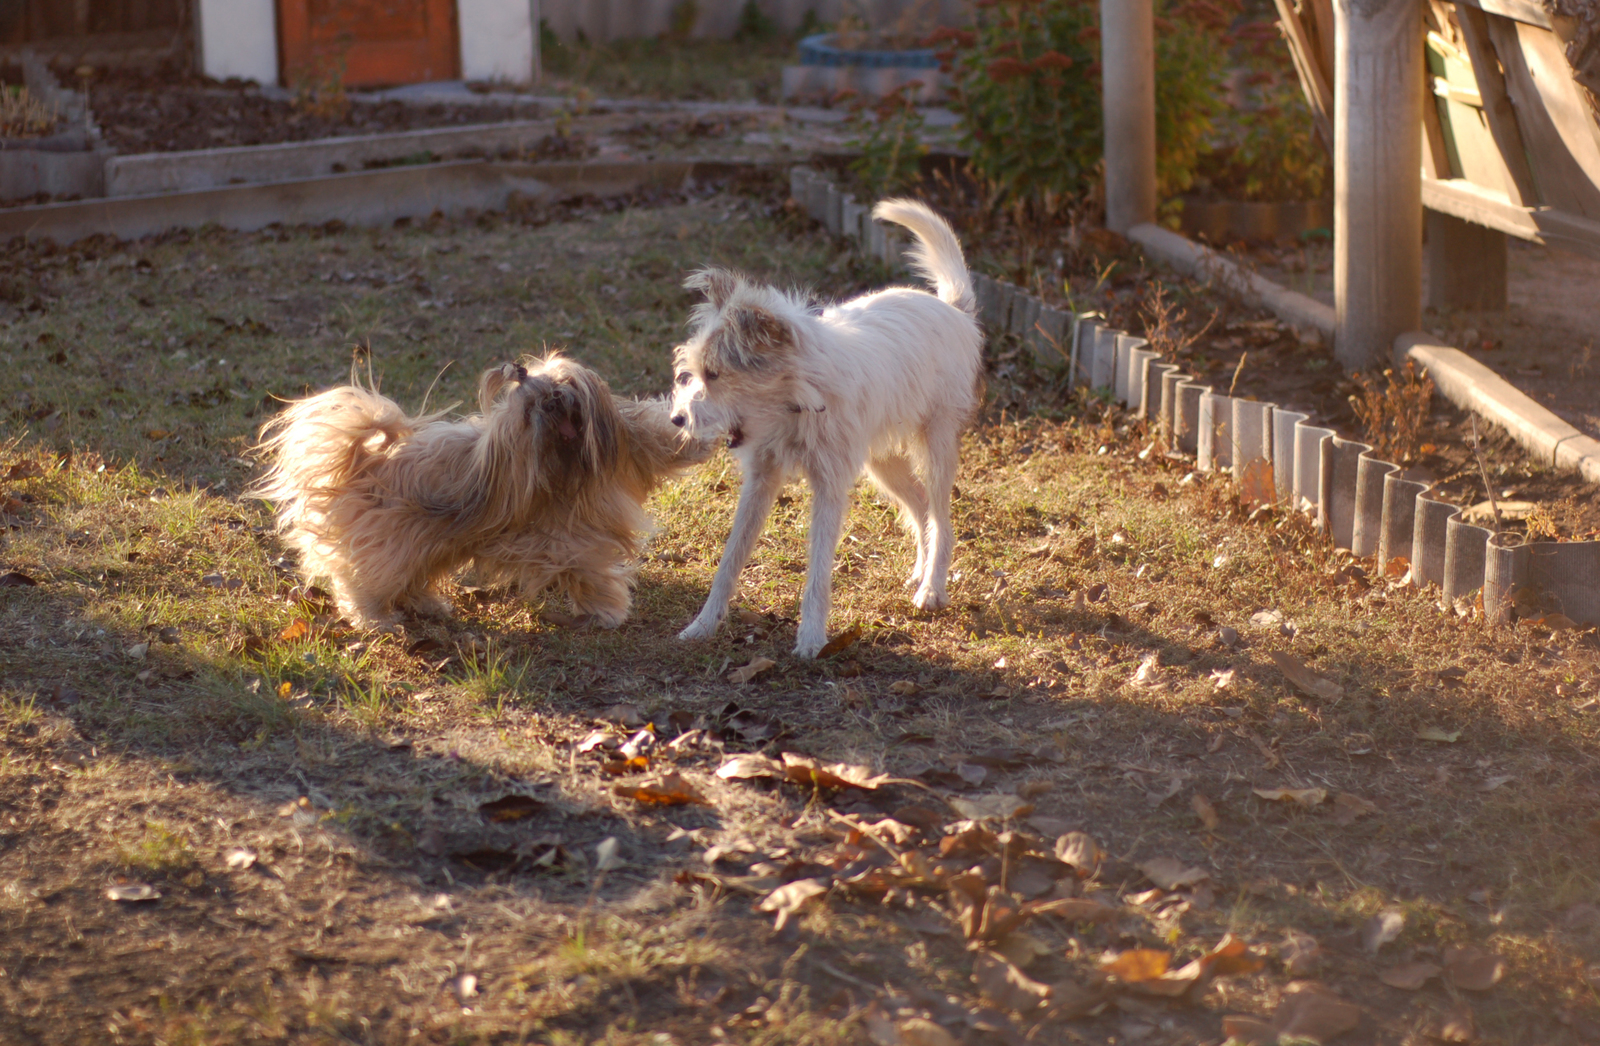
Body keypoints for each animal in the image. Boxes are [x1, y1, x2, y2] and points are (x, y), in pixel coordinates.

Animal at [665, 199, 985, 655]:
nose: (676, 419)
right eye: (692, 373)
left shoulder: (830, 488)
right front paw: (704, 625)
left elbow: (817, 570)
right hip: (881, 463)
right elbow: (730, 560)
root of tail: (952, 308)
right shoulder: (760, 482)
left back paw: (932, 588)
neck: (795, 403)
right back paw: (921, 573)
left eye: (714, 375)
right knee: (922, 507)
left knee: (942, 518)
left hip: (936, 448)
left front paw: (812, 639)